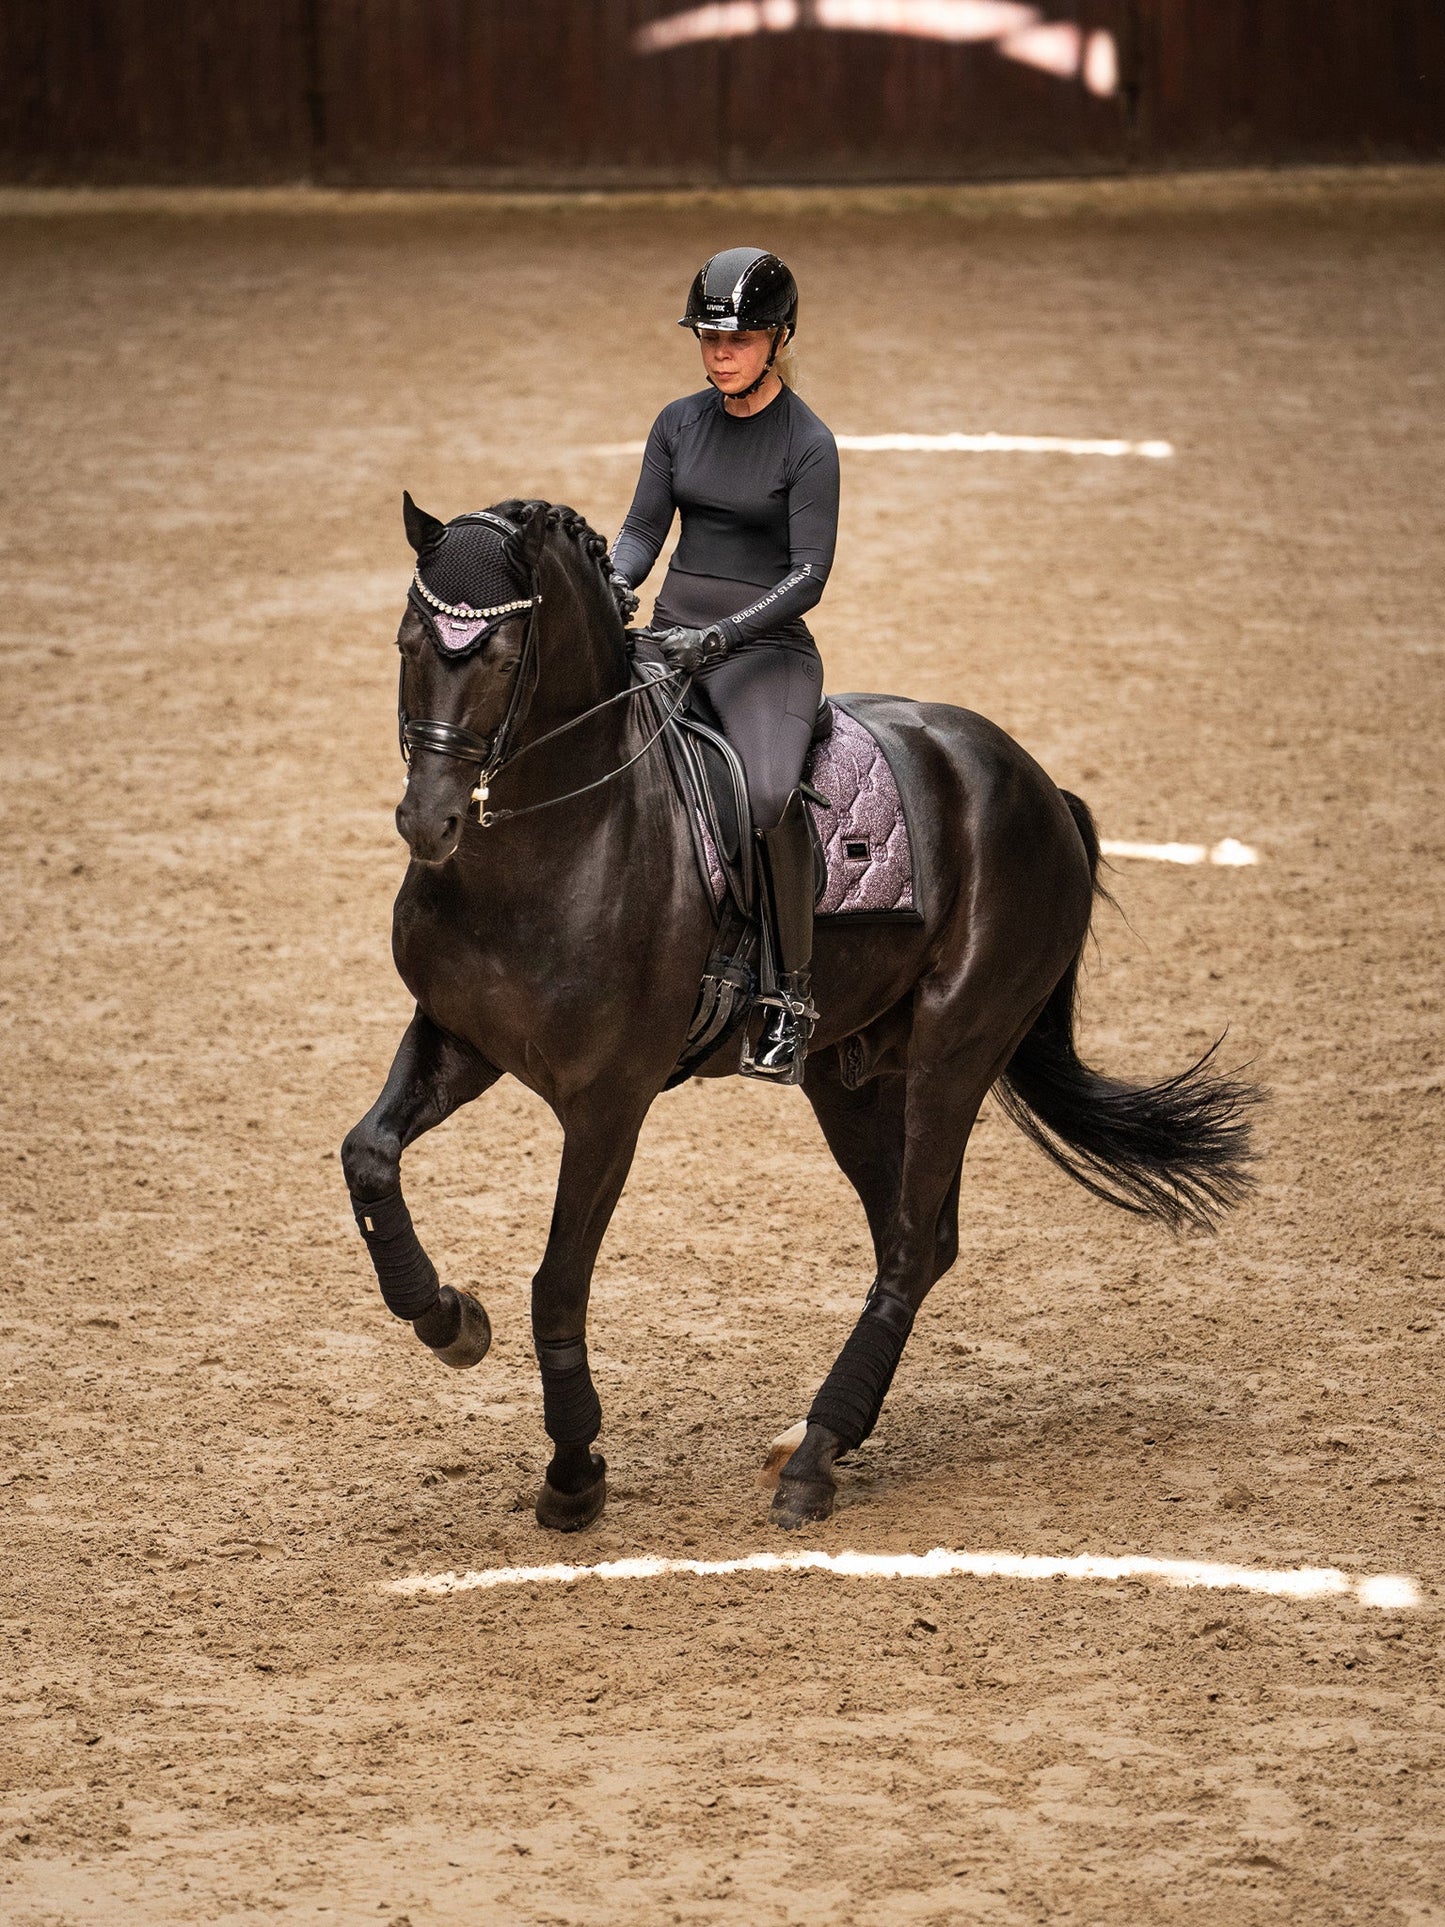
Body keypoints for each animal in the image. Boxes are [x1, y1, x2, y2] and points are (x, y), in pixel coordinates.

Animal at [341, 494, 1257, 1534]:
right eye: (409, 642)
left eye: (498, 657)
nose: (428, 823)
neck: (554, 841)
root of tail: (1036, 784)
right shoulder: (459, 1037)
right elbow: (368, 1156)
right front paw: (449, 1319)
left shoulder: (610, 1104)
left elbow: (558, 1283)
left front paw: (574, 1474)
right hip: (848, 1074)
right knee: (919, 1238)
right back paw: (815, 1437)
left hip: (955, 1050)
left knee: (910, 1245)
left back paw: (814, 1457)